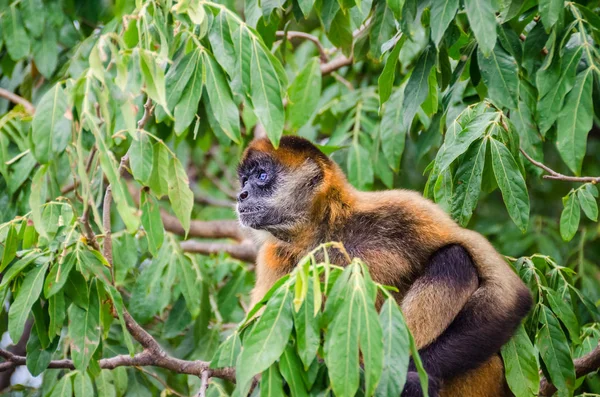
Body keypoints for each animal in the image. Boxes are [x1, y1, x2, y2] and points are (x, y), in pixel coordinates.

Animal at [237, 135, 532, 392]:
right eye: (244, 180)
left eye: (261, 176)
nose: (241, 194)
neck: (326, 233)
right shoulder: (274, 256)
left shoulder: (403, 207)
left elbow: (509, 293)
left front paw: (409, 380)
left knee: (455, 258)